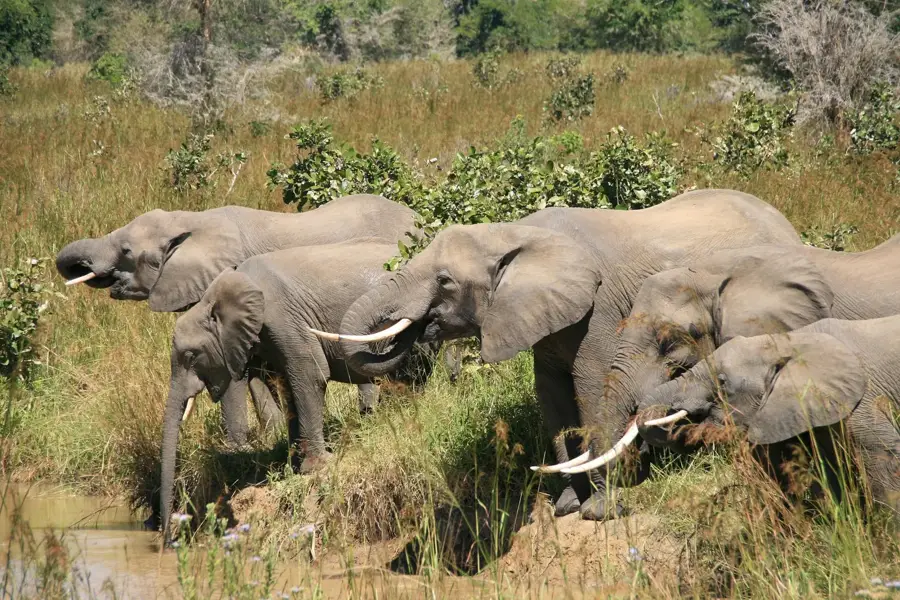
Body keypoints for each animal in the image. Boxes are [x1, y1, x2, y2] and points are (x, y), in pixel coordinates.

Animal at [160, 240, 439, 541]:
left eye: (190, 356)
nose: (167, 538)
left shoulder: (284, 320)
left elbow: (309, 376)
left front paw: (314, 467)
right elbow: (289, 388)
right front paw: (293, 465)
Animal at [309, 188, 803, 520]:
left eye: (445, 281)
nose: (416, 327)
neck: (516, 233)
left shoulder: (599, 311)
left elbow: (591, 389)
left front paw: (601, 510)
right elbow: (552, 398)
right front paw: (567, 504)